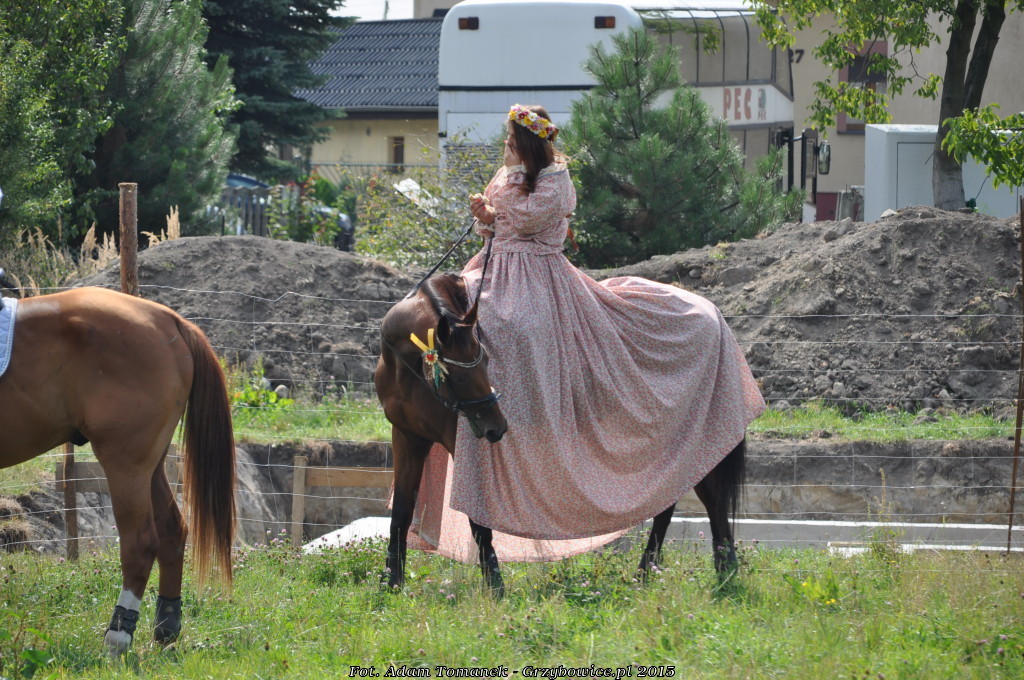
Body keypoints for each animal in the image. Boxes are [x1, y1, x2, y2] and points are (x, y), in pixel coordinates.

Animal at [0, 287, 235, 655]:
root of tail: (168, 319)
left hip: (125, 463)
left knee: (141, 542)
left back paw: (118, 636)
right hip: (150, 466)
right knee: (172, 530)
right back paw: (166, 628)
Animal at [374, 273, 746, 594]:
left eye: (487, 362)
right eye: (461, 375)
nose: (497, 427)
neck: (409, 371)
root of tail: (711, 310)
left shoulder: (460, 443)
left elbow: (479, 522)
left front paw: (496, 588)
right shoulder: (407, 437)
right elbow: (402, 511)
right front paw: (392, 583)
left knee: (710, 497)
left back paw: (723, 572)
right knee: (670, 502)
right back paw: (656, 574)